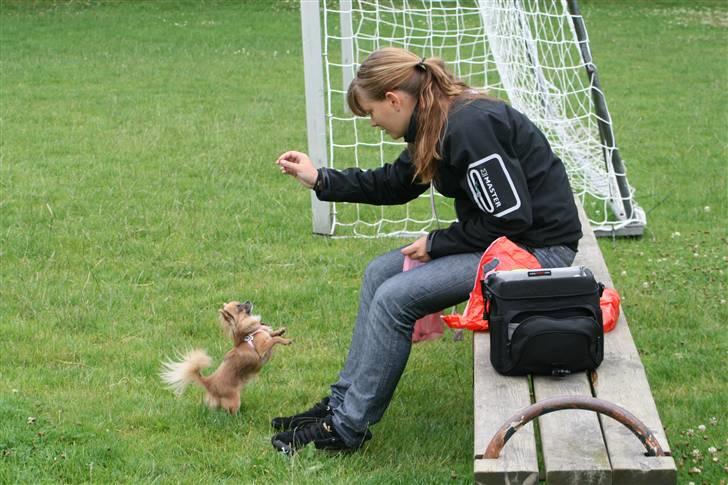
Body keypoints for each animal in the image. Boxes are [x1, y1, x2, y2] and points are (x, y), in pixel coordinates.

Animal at [161, 298, 292, 412]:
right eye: (239, 306)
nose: (248, 301)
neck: (249, 333)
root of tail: (208, 382)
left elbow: (272, 334)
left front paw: (280, 330)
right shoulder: (262, 349)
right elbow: (274, 340)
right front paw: (286, 340)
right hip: (234, 400)